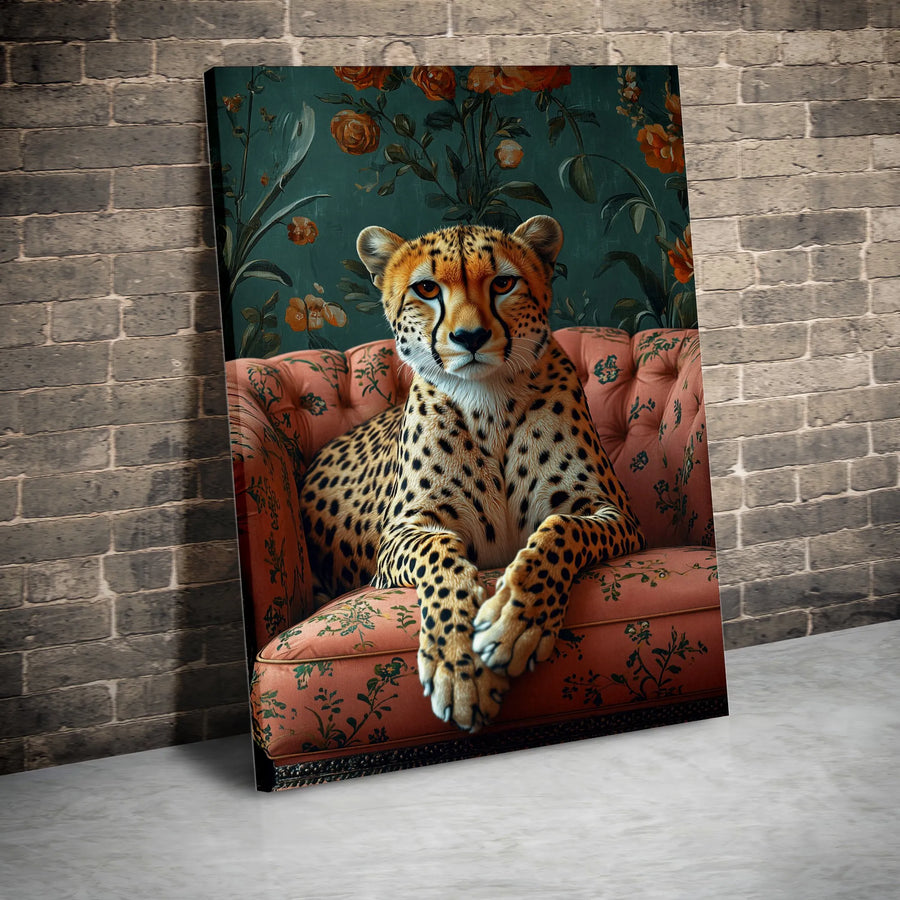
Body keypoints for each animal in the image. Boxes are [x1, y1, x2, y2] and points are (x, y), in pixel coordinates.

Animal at [298, 215, 645, 733]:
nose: (471, 337)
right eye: (426, 288)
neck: (488, 401)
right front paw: (458, 666)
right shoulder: (402, 533)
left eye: (503, 283)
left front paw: (514, 623)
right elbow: (441, 554)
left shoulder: (612, 513)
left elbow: (558, 529)